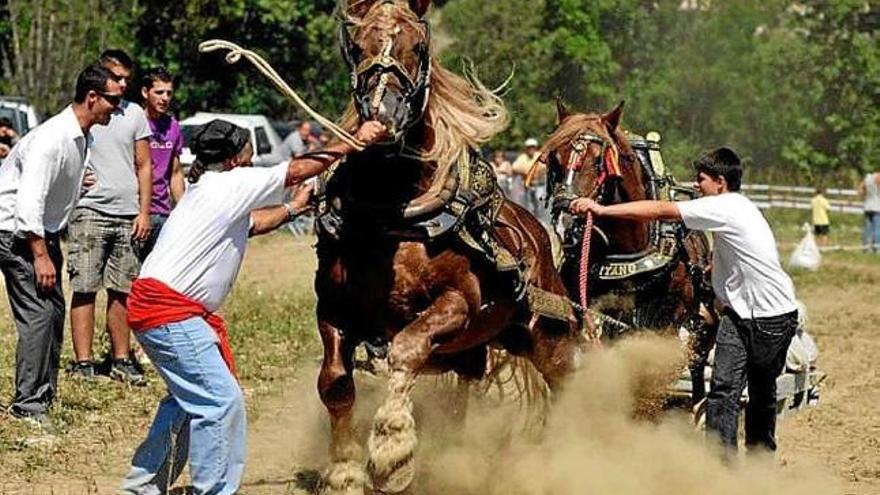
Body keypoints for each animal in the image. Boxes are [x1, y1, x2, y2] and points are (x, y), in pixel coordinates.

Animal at [312, 1, 580, 494]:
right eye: (356, 47)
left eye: (418, 47)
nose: (384, 113)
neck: (390, 216)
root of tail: (534, 230)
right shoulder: (334, 309)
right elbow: (335, 382)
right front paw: (343, 471)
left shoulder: (457, 303)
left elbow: (406, 348)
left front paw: (393, 452)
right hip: (472, 352)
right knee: (462, 399)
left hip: (546, 335)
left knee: (565, 380)